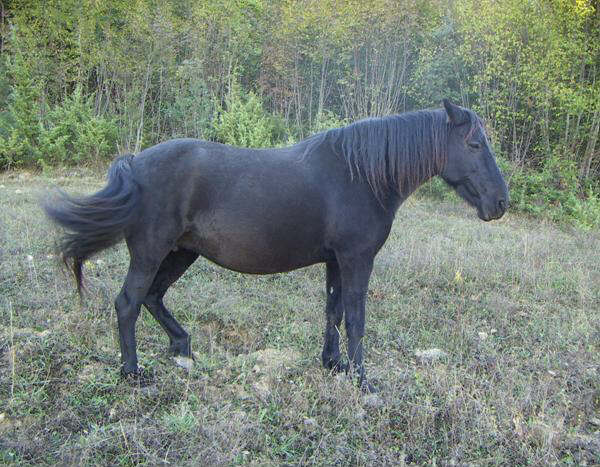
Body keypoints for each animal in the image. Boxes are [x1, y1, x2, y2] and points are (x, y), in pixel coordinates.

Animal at [44, 100, 508, 390]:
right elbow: (356, 318)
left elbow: (333, 311)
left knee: (153, 298)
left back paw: (182, 347)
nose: (501, 203)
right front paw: (362, 380)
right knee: (129, 303)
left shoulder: (335, 261)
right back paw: (132, 373)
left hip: (181, 252)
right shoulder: (356, 259)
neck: (361, 175)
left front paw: (333, 364)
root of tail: (135, 162)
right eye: (474, 144)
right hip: (151, 252)